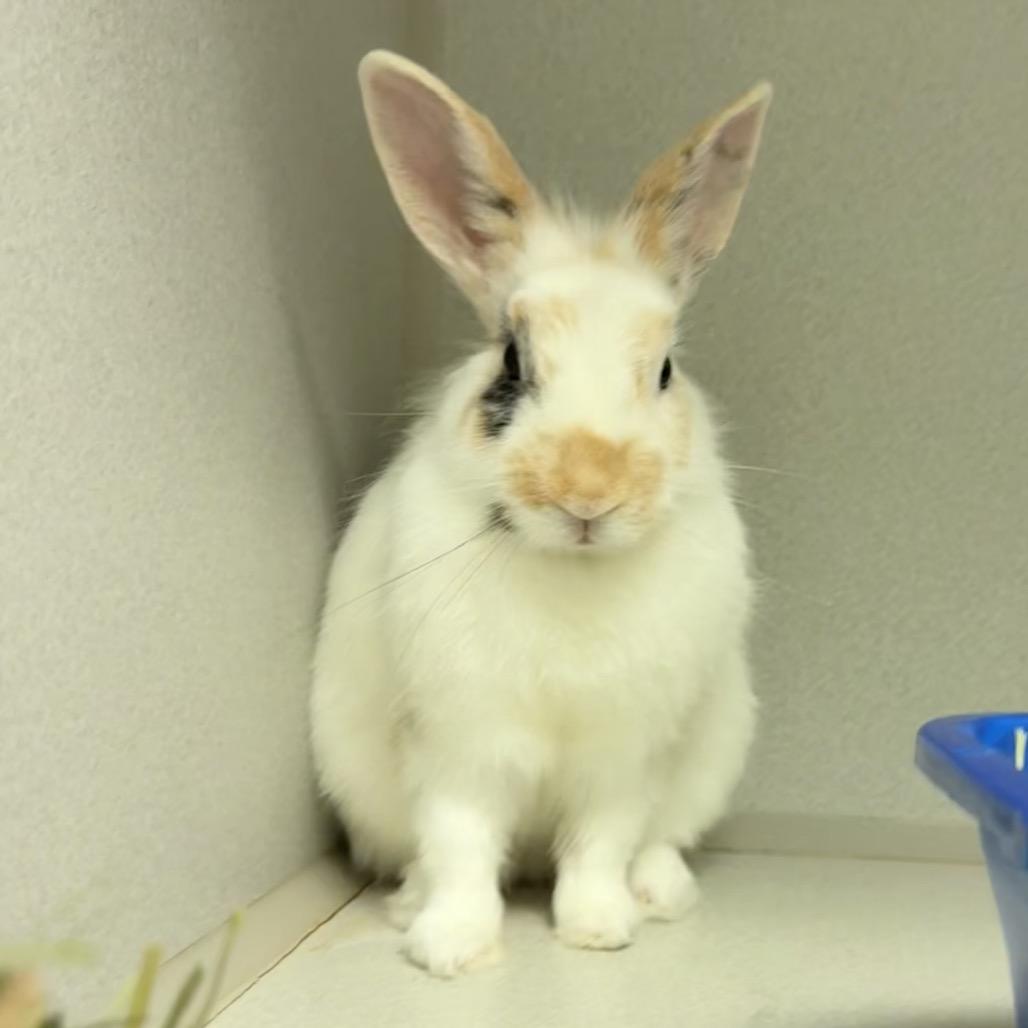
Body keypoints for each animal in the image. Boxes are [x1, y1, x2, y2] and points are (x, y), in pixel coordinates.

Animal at [311, 50, 771, 976]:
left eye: (665, 369)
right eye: (511, 365)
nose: (587, 493)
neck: (573, 570)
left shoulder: (622, 760)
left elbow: (600, 844)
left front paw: (598, 931)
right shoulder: (457, 746)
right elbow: (459, 844)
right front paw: (450, 950)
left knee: (657, 842)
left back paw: (658, 895)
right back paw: (410, 906)